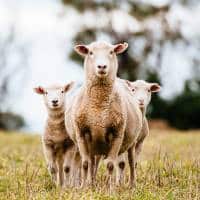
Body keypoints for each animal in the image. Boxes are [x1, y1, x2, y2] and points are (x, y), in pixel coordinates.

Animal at [65, 41, 143, 188]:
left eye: (111, 52)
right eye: (90, 52)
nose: (102, 66)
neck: (99, 105)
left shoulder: (117, 133)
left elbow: (111, 165)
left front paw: (109, 188)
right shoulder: (81, 133)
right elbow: (85, 164)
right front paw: (84, 187)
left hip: (132, 141)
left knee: (131, 162)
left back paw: (132, 185)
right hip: (93, 145)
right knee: (92, 163)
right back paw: (91, 183)